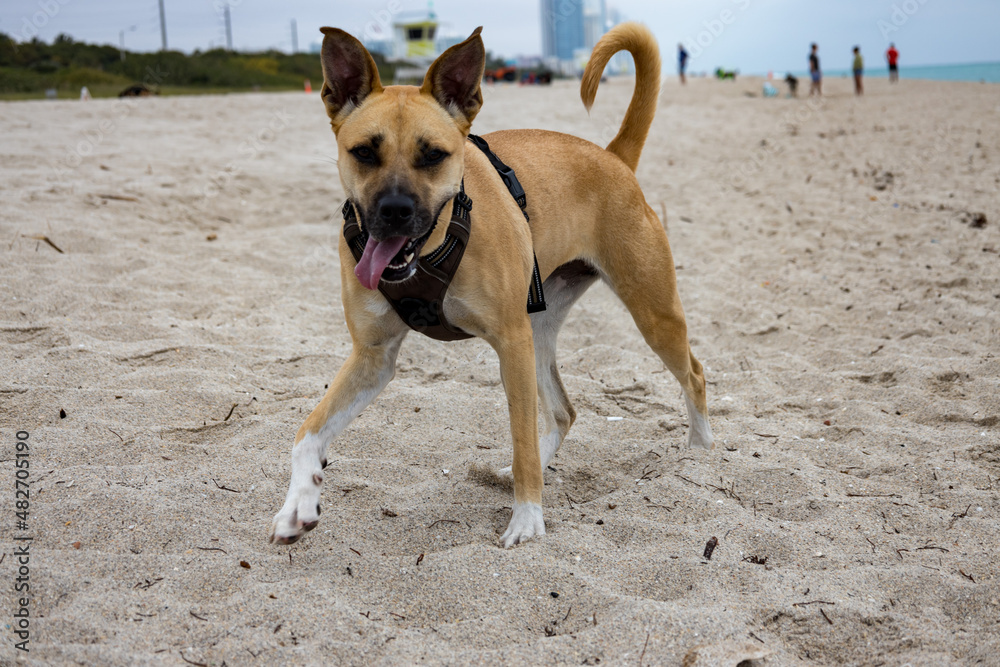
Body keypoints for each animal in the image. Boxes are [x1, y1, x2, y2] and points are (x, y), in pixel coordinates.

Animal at [272, 23, 712, 552]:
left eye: (433, 155)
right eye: (363, 152)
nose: (395, 211)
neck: (433, 246)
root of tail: (613, 157)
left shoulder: (509, 342)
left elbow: (521, 437)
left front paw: (527, 520)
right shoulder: (372, 358)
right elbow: (307, 432)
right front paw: (298, 504)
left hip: (648, 313)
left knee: (694, 375)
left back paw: (701, 455)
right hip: (540, 332)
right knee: (564, 412)